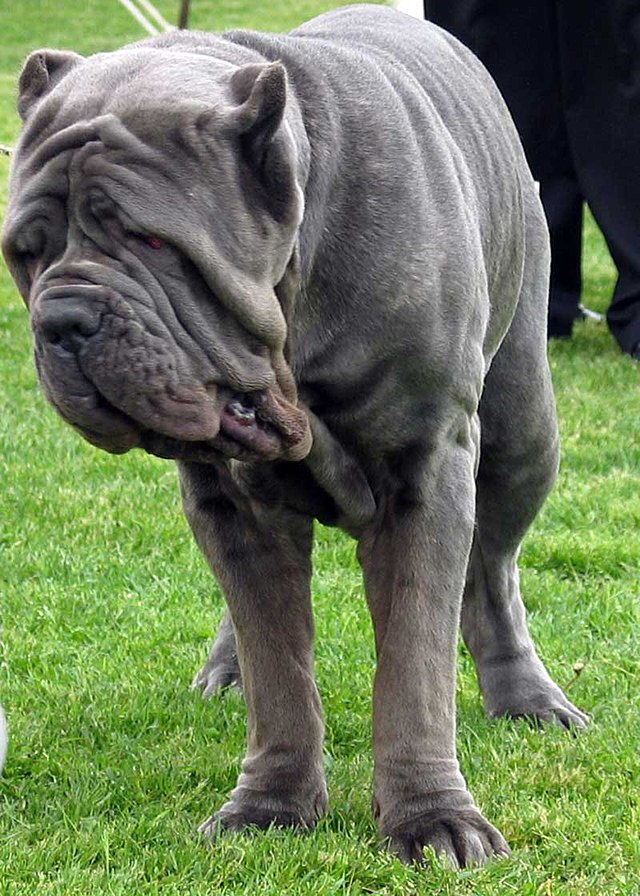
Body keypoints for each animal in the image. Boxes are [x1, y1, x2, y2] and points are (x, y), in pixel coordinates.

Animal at [2, 1, 588, 868]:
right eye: (26, 252)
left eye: (152, 242)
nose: (63, 321)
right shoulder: (231, 501)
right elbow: (278, 659)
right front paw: (269, 807)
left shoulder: (425, 468)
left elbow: (415, 663)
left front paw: (433, 819)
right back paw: (228, 668)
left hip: (524, 430)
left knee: (493, 570)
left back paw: (528, 696)